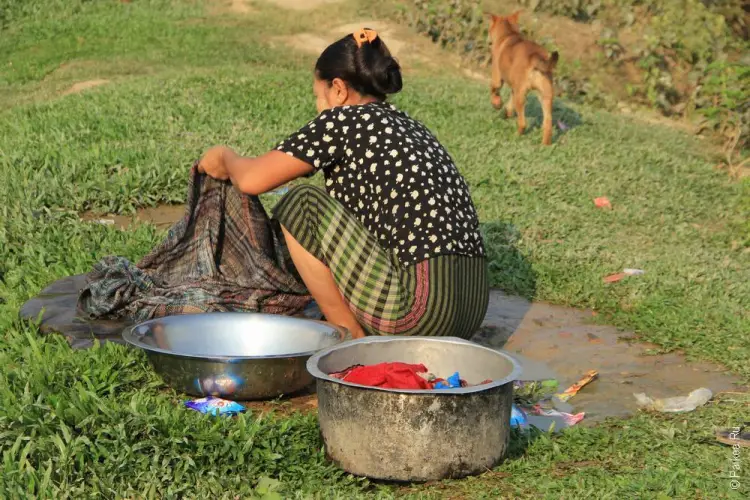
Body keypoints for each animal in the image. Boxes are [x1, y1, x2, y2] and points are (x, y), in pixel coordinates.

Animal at [490, 11, 560, 145]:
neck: (509, 34)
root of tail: (536, 56)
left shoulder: (497, 79)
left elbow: (494, 91)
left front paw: (497, 104)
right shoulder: (515, 89)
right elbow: (509, 104)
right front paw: (506, 113)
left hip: (521, 96)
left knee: (523, 123)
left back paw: (516, 136)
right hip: (546, 96)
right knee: (547, 124)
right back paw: (544, 145)